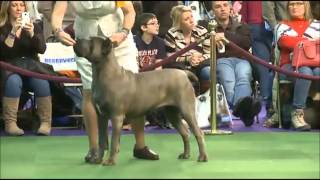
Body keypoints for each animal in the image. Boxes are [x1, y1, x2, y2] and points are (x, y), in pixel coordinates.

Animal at [73, 36, 208, 166]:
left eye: (91, 43)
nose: (76, 40)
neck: (103, 73)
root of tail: (184, 73)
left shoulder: (116, 117)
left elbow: (113, 141)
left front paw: (110, 161)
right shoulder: (101, 116)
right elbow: (102, 140)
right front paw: (97, 160)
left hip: (187, 111)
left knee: (199, 133)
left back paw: (202, 157)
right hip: (172, 113)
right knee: (185, 133)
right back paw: (185, 155)